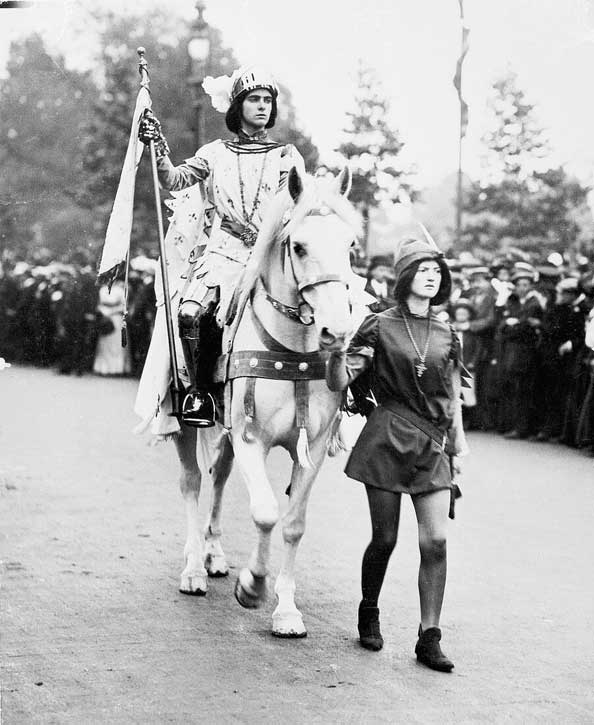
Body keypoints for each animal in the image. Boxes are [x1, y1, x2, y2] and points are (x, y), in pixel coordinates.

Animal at [169, 167, 358, 636]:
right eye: (299, 246)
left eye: (350, 245)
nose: (337, 332)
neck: (292, 352)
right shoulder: (251, 438)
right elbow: (266, 512)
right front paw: (252, 585)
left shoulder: (311, 448)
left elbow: (292, 524)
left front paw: (287, 611)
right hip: (183, 420)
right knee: (193, 482)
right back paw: (194, 568)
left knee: (218, 477)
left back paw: (214, 556)